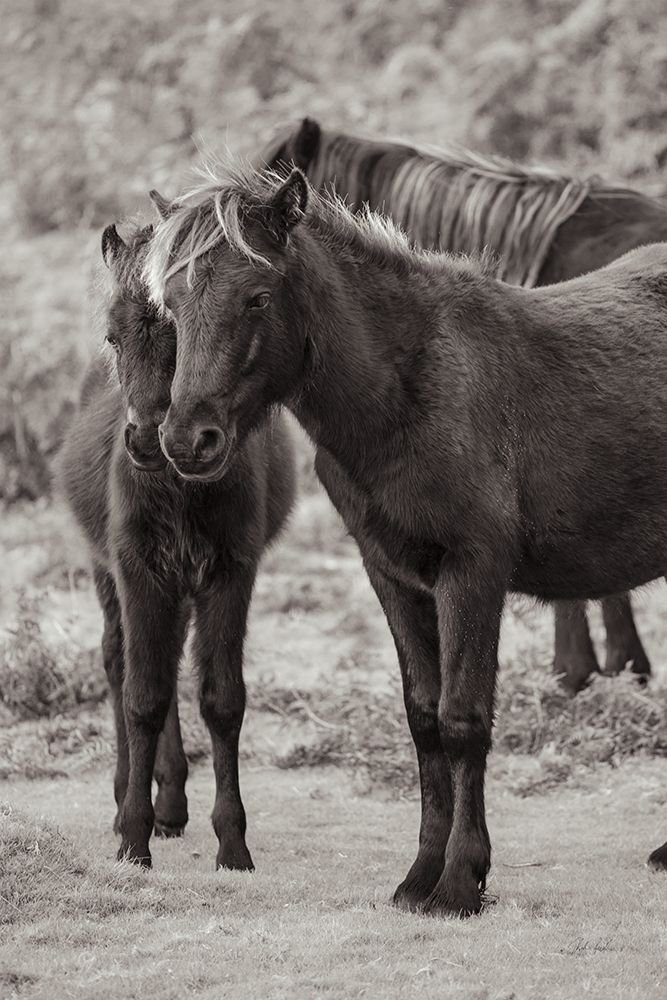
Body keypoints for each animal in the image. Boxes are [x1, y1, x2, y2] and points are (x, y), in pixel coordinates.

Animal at [56, 221, 296, 870]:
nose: (146, 440)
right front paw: (133, 838)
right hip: (112, 574)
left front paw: (232, 843)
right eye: (113, 338)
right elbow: (142, 696)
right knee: (121, 662)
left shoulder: (229, 573)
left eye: (180, 332)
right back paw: (132, 800)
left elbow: (220, 700)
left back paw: (171, 804)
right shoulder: (138, 570)